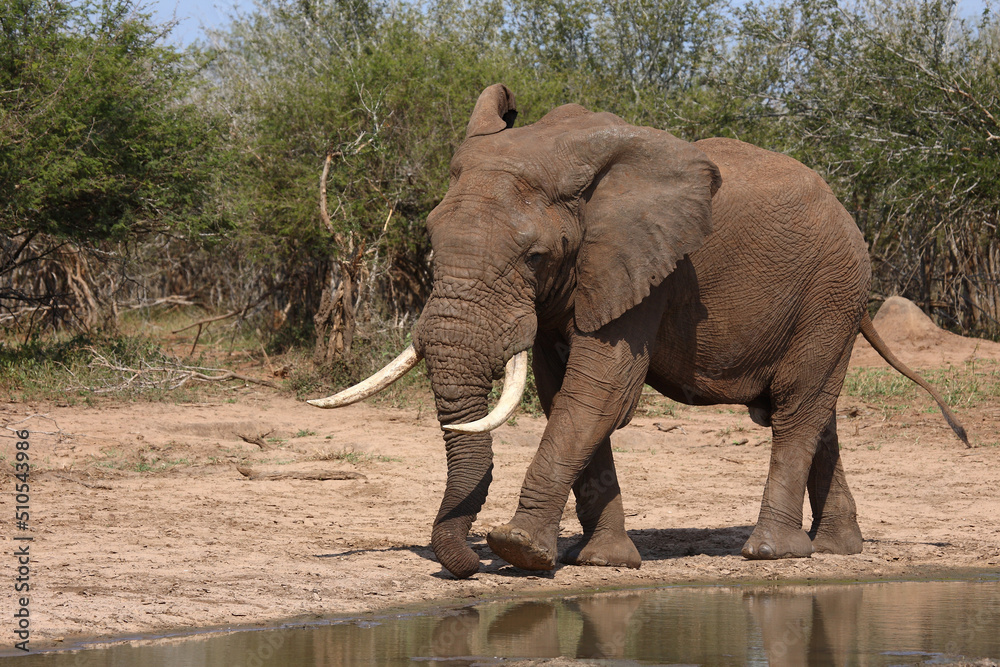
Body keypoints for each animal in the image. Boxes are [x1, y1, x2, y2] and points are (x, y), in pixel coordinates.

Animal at [310, 84, 968, 579]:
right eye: (430, 239)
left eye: (533, 256)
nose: (465, 565)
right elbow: (562, 391)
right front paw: (601, 562)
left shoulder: (648, 268)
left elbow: (599, 393)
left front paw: (518, 550)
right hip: (830, 298)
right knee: (816, 411)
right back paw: (836, 550)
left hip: (831, 289)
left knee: (797, 405)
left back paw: (770, 553)